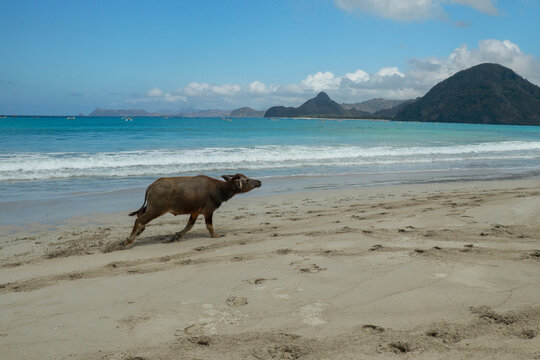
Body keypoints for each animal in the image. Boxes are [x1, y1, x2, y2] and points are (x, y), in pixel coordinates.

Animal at [125, 173, 264, 246]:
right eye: (247, 180)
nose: (259, 182)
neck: (218, 188)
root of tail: (152, 185)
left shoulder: (195, 212)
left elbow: (189, 226)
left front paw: (176, 236)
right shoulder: (208, 211)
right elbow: (209, 226)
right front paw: (215, 235)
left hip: (151, 207)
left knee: (139, 215)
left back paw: (138, 232)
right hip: (156, 209)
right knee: (139, 220)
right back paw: (127, 240)